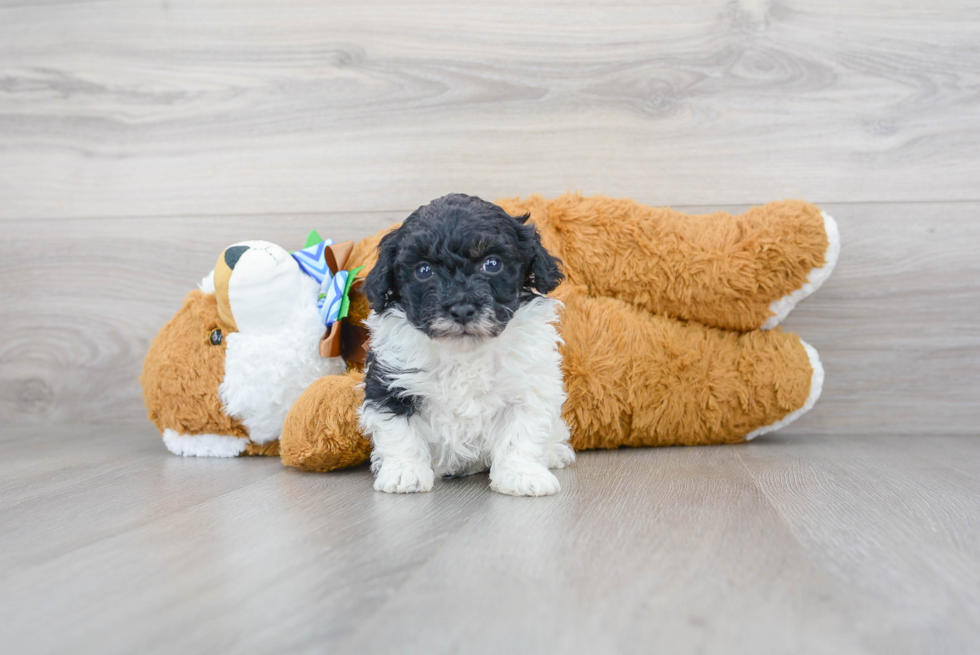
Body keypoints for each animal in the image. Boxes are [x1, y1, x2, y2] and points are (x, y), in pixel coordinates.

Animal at [360, 195, 576, 498]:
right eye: (423, 270)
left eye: (492, 264)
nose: (461, 309)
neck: (463, 352)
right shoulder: (390, 382)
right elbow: (399, 431)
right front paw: (405, 473)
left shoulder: (528, 384)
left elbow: (521, 433)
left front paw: (522, 475)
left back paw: (556, 452)